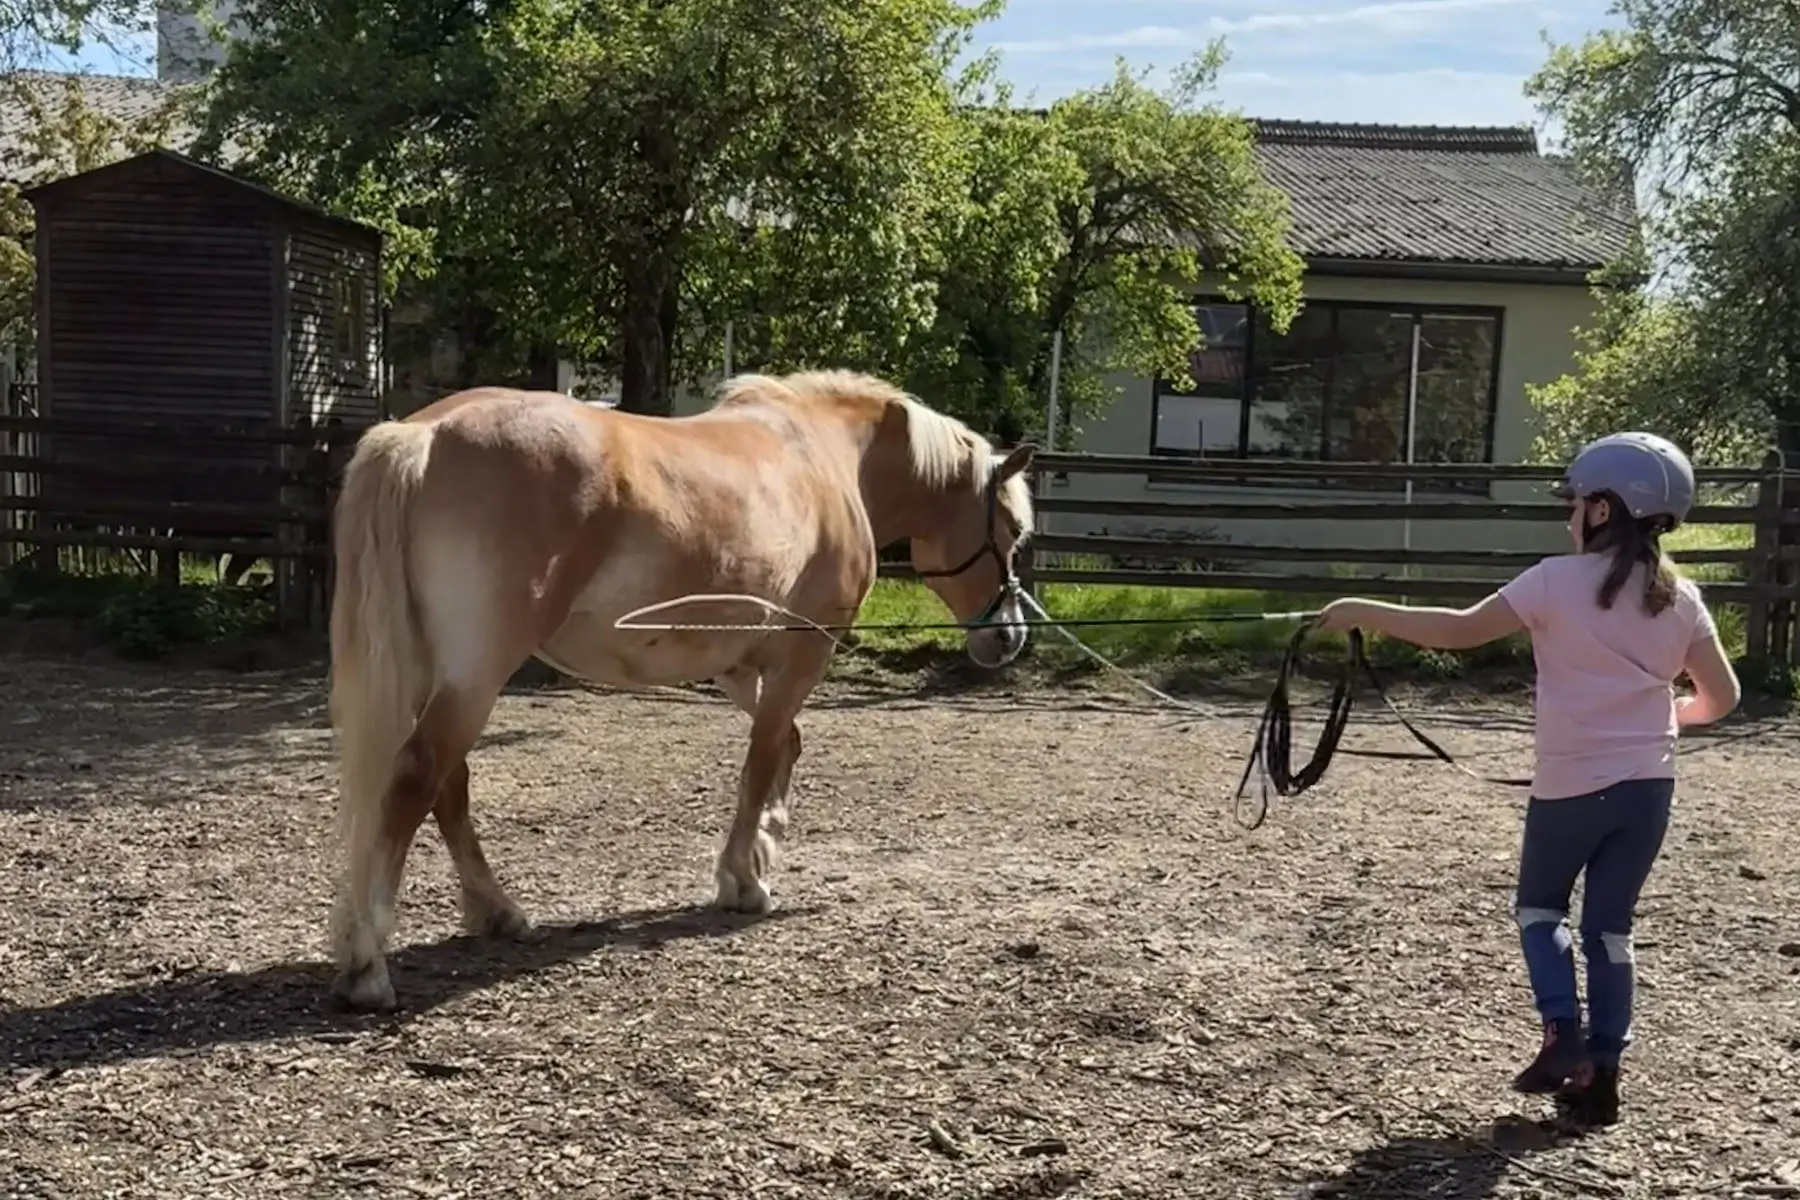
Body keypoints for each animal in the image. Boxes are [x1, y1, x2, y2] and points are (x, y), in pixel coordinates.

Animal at [325, 368, 1037, 1009]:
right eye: (1012, 529)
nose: (1009, 636)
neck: (828, 455)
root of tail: (423, 436)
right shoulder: (802, 656)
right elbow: (760, 761)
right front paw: (744, 882)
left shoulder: (740, 665)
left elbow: (785, 744)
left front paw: (768, 840)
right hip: (475, 677)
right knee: (417, 779)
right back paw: (369, 966)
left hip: (440, 676)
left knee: (449, 788)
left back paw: (498, 912)